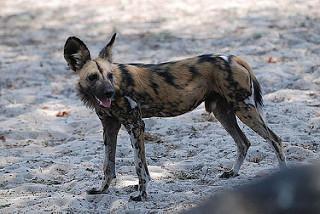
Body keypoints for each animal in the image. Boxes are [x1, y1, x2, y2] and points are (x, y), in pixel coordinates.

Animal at [63, 33, 286, 201]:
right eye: (93, 77)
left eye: (110, 76)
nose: (109, 92)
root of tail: (233, 58)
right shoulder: (110, 127)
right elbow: (108, 165)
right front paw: (102, 190)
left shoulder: (136, 125)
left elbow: (139, 166)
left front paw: (141, 195)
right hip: (222, 113)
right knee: (244, 142)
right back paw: (232, 173)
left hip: (244, 109)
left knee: (275, 139)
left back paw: (283, 175)